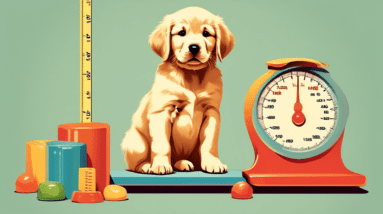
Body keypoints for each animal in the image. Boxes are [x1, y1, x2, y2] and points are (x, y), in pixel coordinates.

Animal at [121, 6, 236, 174]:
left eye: (206, 33)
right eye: (181, 33)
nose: (194, 47)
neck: (192, 76)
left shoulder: (212, 112)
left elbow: (209, 142)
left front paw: (213, 163)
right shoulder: (162, 111)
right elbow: (162, 144)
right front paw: (160, 165)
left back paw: (183, 163)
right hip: (136, 144)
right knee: (134, 164)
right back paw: (147, 166)